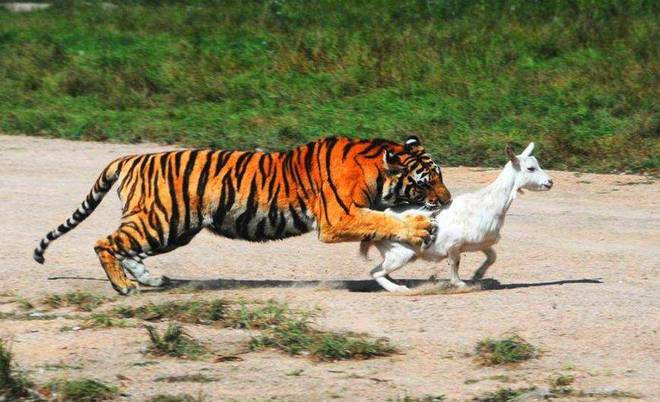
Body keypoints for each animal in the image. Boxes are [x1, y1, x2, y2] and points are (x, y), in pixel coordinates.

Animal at [33, 135, 452, 296]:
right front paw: (420, 228)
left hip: (171, 228)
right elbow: (383, 219)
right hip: (163, 220)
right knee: (105, 243)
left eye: (441, 176)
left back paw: (150, 280)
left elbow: (382, 221)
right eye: (426, 181)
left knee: (128, 248)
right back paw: (124, 287)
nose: (447, 201)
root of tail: (131, 158)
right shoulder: (339, 218)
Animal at [364, 143, 556, 290]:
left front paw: (478, 275)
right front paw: (460, 284)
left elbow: (492, 257)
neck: (488, 203)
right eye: (530, 168)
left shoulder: (481, 243)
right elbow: (455, 264)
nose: (550, 182)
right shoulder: (453, 246)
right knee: (376, 272)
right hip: (401, 254)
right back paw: (399, 288)